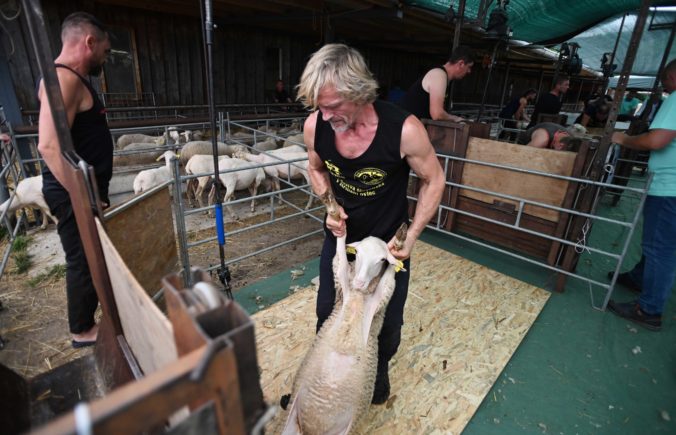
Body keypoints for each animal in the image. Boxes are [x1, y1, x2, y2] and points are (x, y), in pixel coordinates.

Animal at [282, 221, 406, 435]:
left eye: (381, 259)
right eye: (357, 253)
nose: (359, 282)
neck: (358, 296)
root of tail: (312, 431)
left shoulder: (381, 297)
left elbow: (389, 275)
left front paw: (399, 242)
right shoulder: (342, 281)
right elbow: (340, 254)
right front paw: (339, 225)